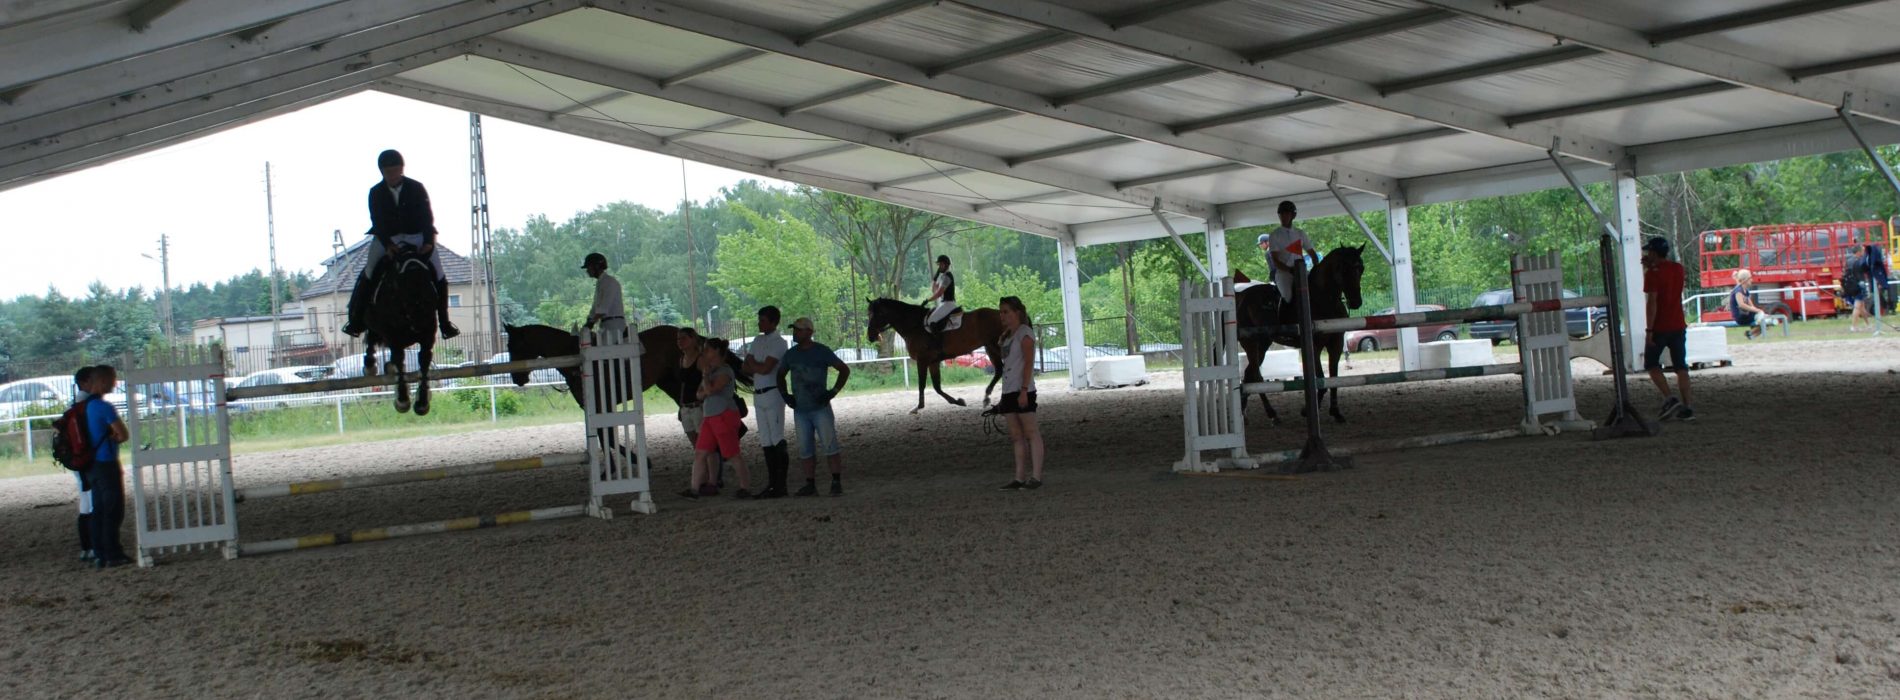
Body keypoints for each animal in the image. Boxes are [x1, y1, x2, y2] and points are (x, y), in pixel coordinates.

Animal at [866, 298, 1010, 410]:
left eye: (877, 314)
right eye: (868, 314)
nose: (870, 336)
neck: (915, 326)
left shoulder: (922, 360)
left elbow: (922, 384)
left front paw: (919, 407)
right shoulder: (933, 362)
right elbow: (937, 387)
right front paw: (958, 401)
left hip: (996, 346)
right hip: (990, 348)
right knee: (999, 370)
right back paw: (988, 397)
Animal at [1238, 243, 1360, 424]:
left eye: (1361, 269)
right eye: (1344, 269)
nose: (1356, 302)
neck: (1323, 299)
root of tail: (1242, 296)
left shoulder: (1336, 343)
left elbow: (1333, 378)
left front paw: (1336, 412)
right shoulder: (1314, 346)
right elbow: (1320, 380)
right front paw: (1307, 411)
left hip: (1263, 344)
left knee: (1249, 374)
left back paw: (1245, 411)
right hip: (1251, 342)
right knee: (1256, 376)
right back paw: (1271, 413)